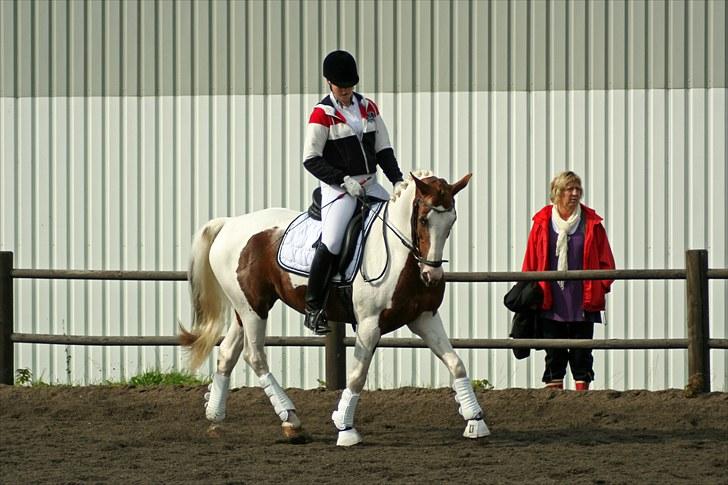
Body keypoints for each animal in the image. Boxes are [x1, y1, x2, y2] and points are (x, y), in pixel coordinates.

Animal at [179, 168, 492, 444]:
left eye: (451, 221)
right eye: (425, 220)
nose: (432, 276)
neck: (401, 256)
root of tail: (229, 223)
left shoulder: (424, 318)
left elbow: (456, 364)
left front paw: (475, 421)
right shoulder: (369, 325)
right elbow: (356, 376)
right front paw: (346, 428)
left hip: (247, 308)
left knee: (227, 353)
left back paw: (216, 415)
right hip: (253, 310)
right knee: (254, 356)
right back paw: (291, 420)